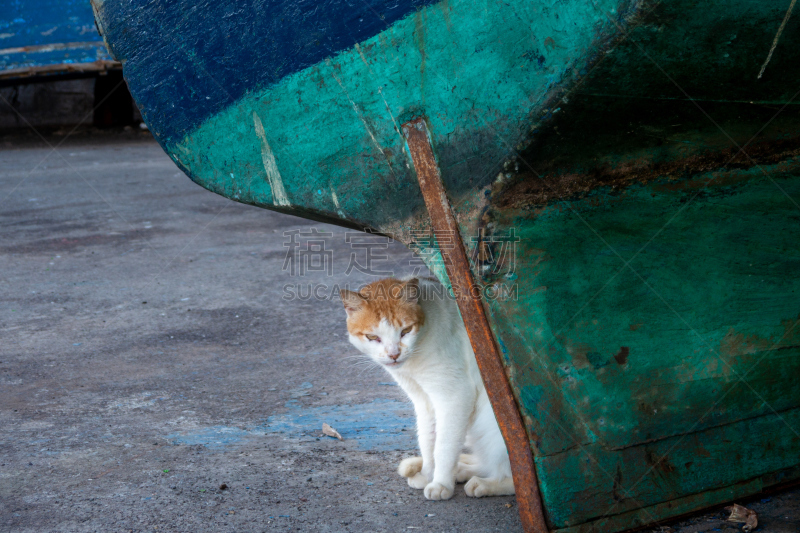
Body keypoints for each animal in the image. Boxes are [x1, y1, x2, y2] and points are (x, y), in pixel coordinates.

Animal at [340, 276, 516, 500]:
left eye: (405, 331)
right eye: (373, 337)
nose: (394, 355)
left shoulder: (454, 397)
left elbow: (443, 447)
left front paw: (441, 483)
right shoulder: (424, 402)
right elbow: (427, 440)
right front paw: (427, 475)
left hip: (494, 428)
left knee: (511, 475)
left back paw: (485, 484)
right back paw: (461, 470)